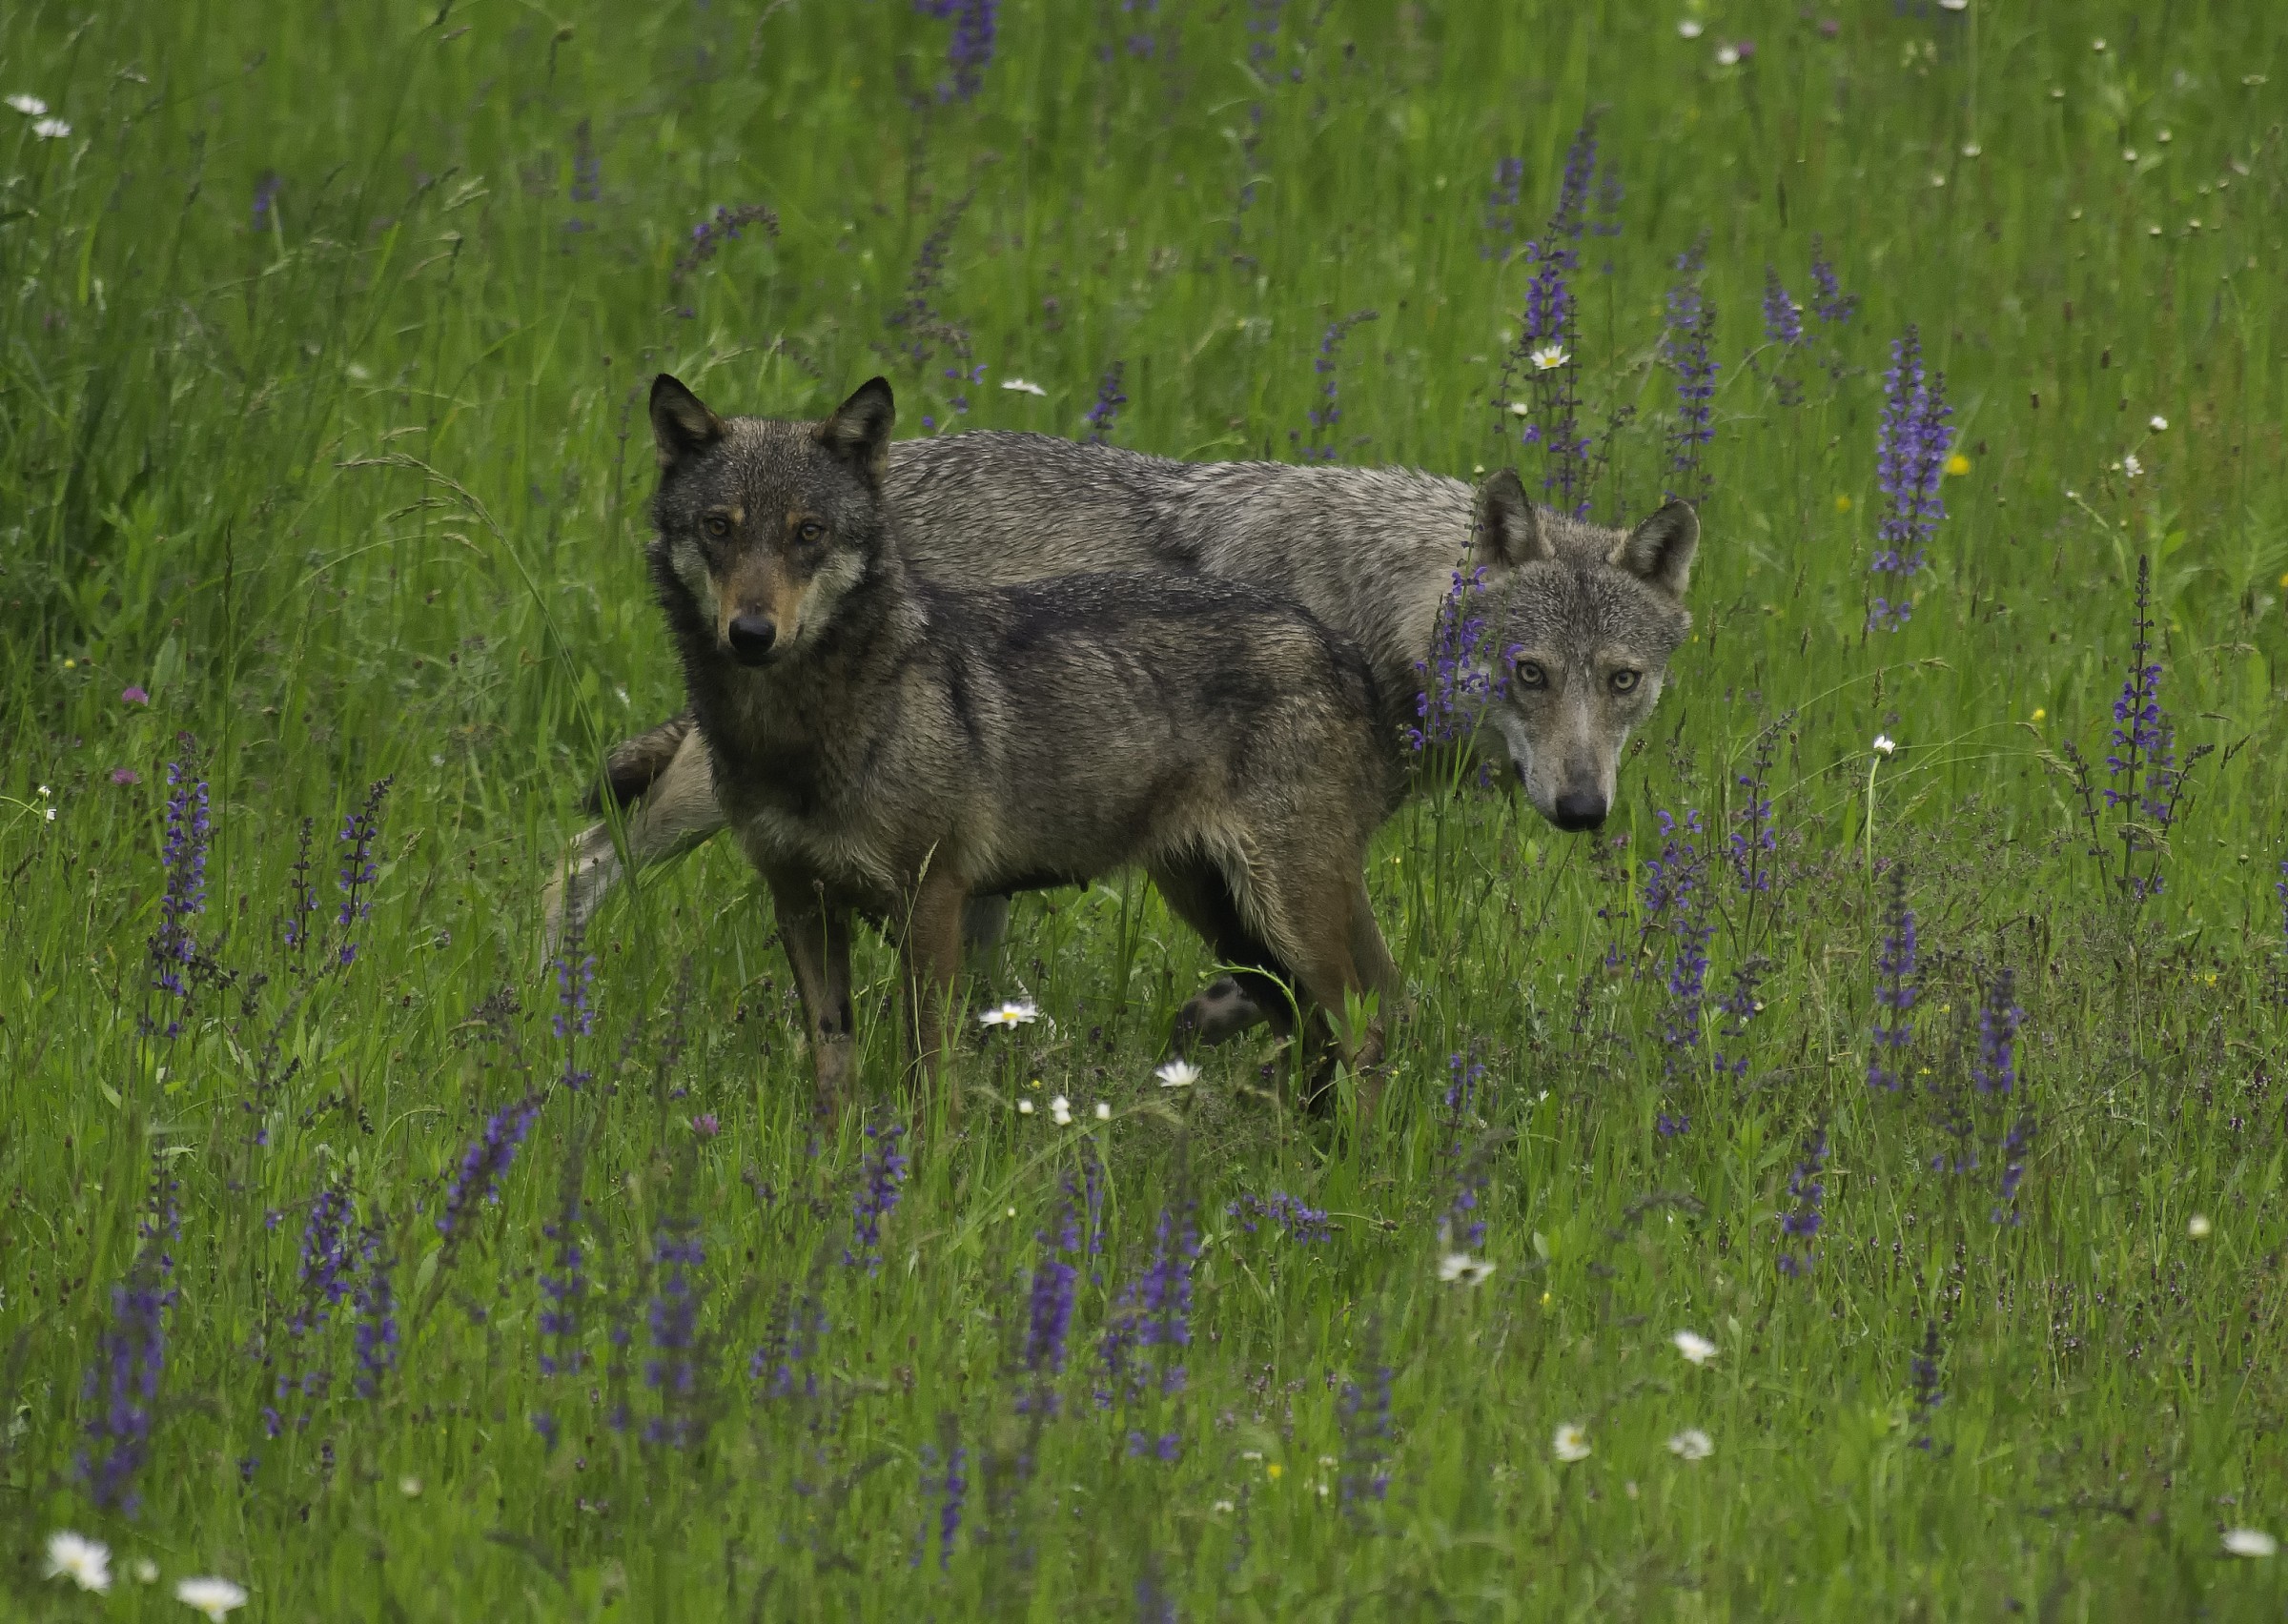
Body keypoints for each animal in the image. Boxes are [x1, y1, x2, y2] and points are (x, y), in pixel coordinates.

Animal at [643, 373, 1403, 1109]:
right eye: (718, 527)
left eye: (809, 532)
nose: (751, 634)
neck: (799, 733)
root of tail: (1340, 648)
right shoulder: (802, 903)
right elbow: (833, 1072)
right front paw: (831, 1156)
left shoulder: (932, 901)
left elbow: (929, 1070)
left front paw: (926, 1156)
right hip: (1227, 921)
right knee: (1312, 1033)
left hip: (1281, 916)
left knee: (1362, 1030)